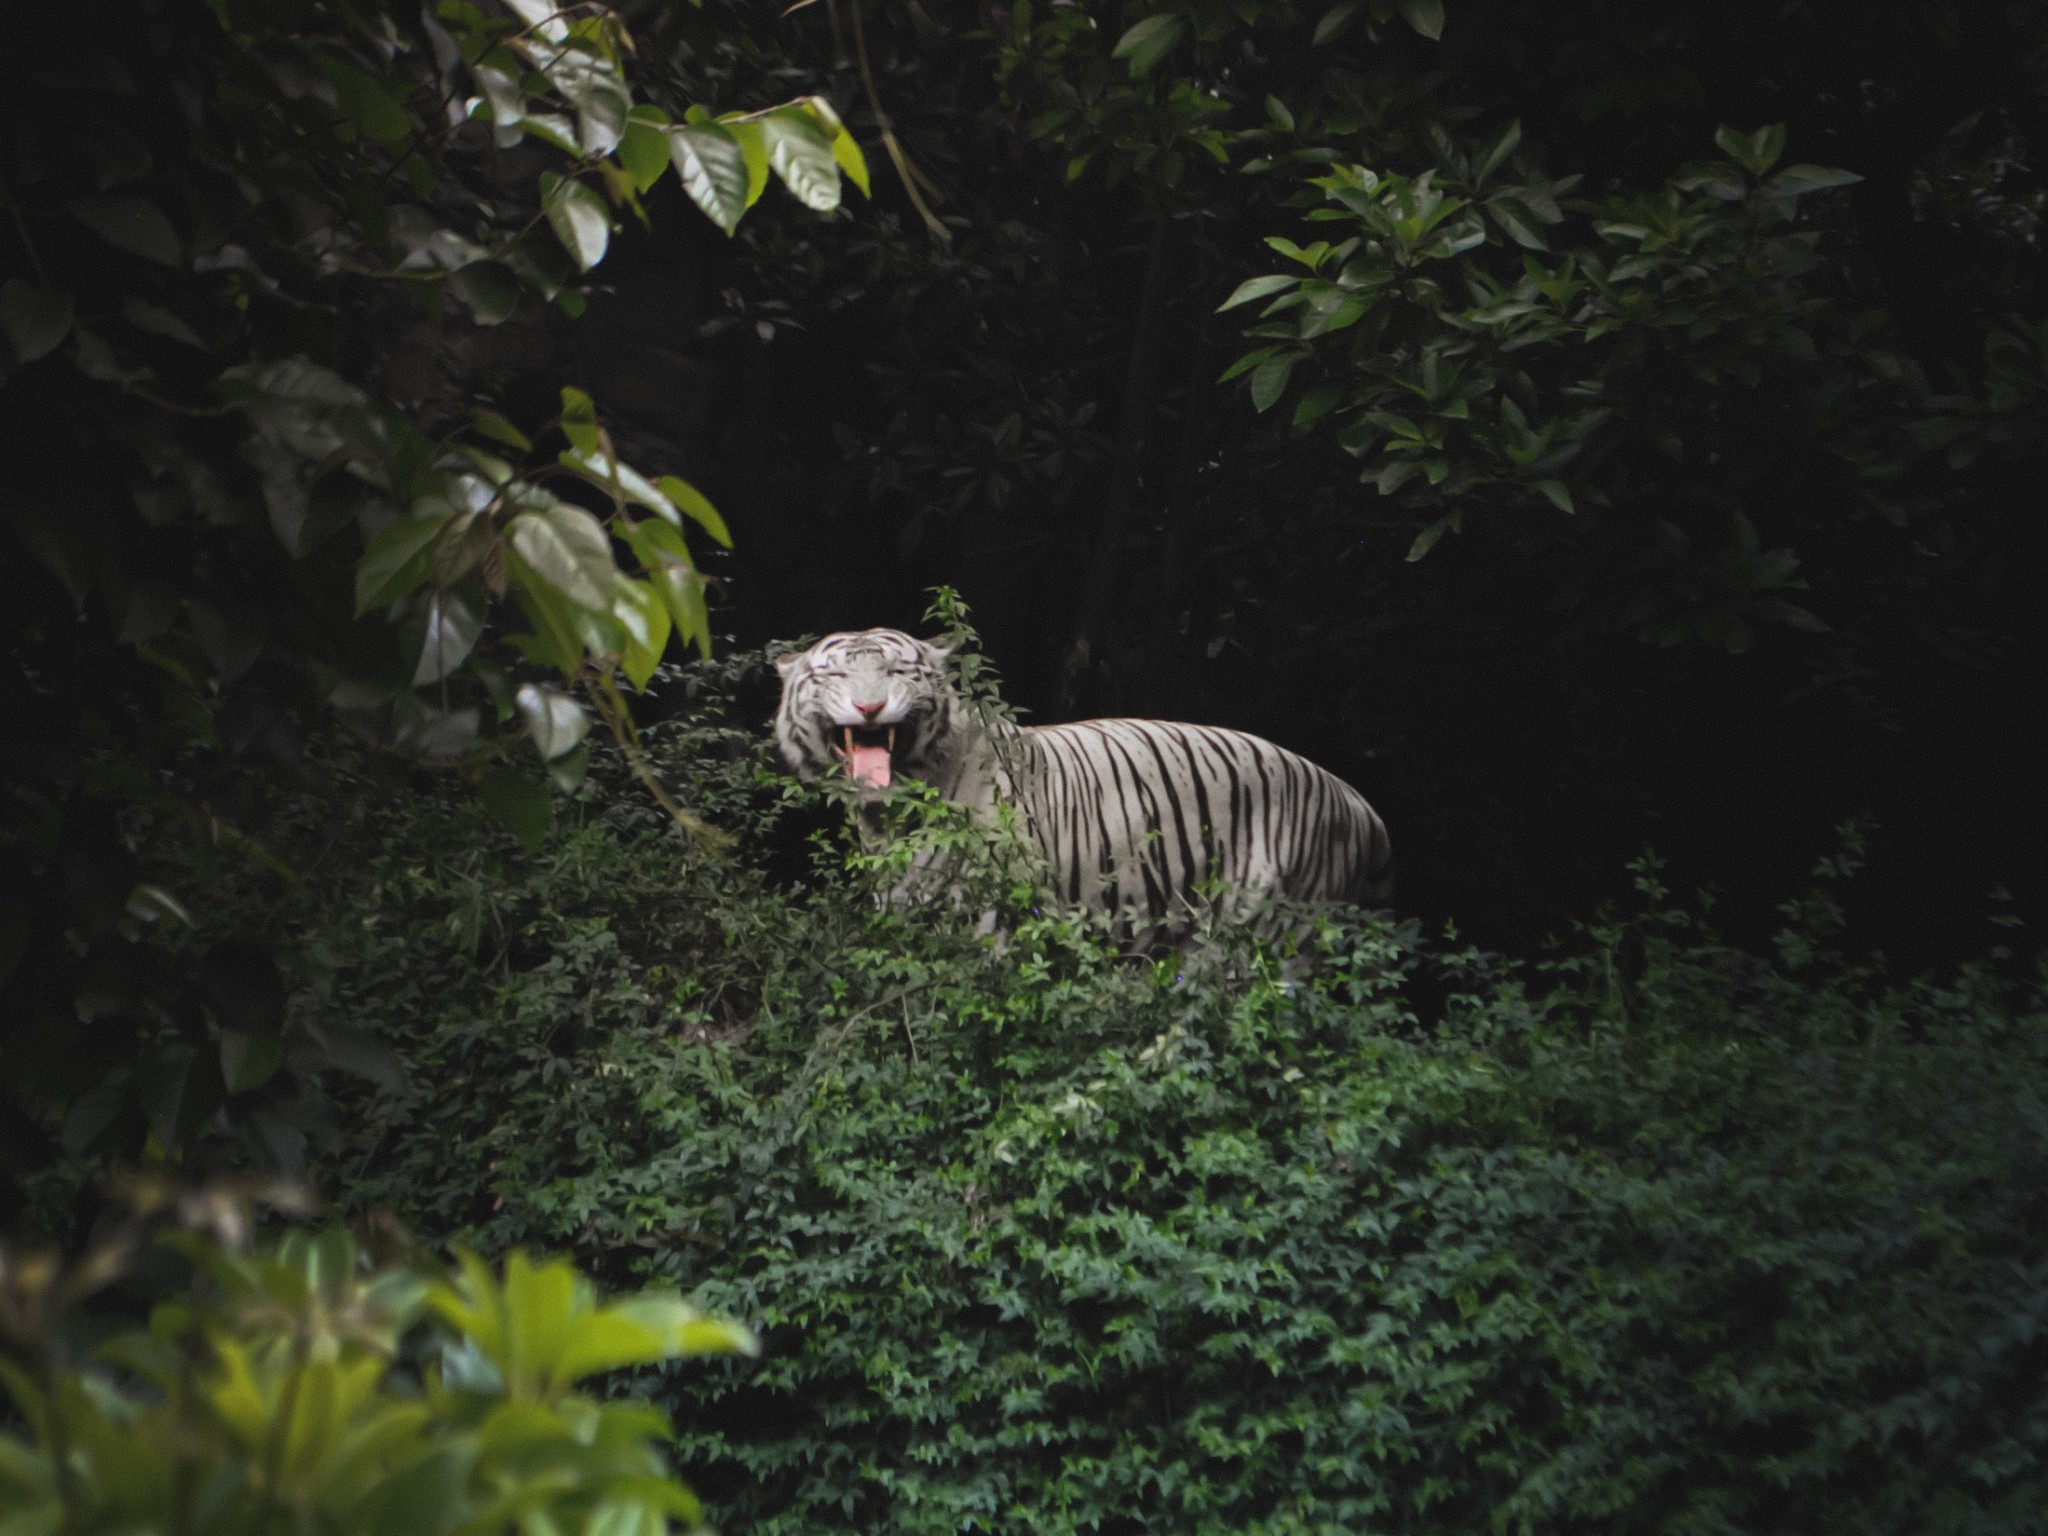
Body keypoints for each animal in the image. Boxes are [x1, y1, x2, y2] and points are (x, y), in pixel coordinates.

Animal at [773, 628, 1393, 925]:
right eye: (834, 675)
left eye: (897, 671)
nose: (870, 707)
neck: (891, 813)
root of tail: (1361, 804)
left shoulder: (993, 909)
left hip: (1277, 921)